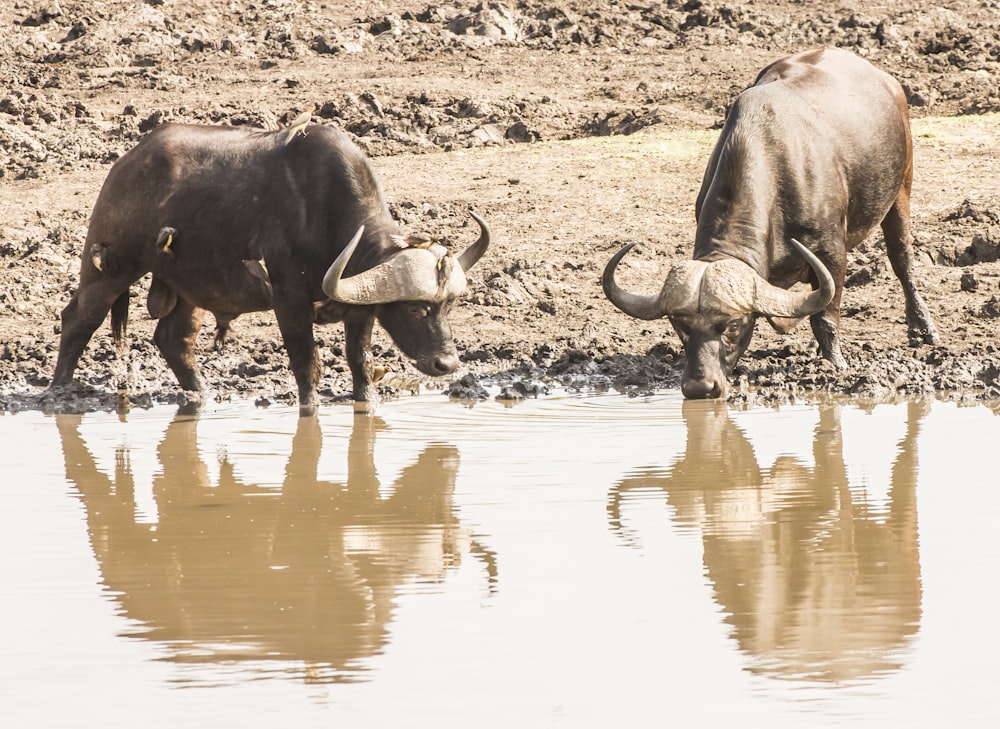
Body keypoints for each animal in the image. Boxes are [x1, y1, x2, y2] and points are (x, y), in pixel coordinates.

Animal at [50, 121, 488, 416]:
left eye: (448, 306)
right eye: (415, 307)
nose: (446, 364)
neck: (324, 218)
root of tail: (126, 163)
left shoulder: (361, 310)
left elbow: (360, 364)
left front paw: (368, 405)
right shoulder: (287, 298)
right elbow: (307, 366)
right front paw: (309, 412)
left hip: (189, 288)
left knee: (173, 339)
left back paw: (201, 394)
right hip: (108, 266)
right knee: (78, 319)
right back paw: (58, 391)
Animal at [604, 47, 940, 398]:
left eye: (733, 325)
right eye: (680, 326)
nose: (700, 387)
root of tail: (888, 82)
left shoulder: (832, 254)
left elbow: (825, 318)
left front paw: (834, 364)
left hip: (901, 190)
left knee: (902, 259)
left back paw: (923, 328)